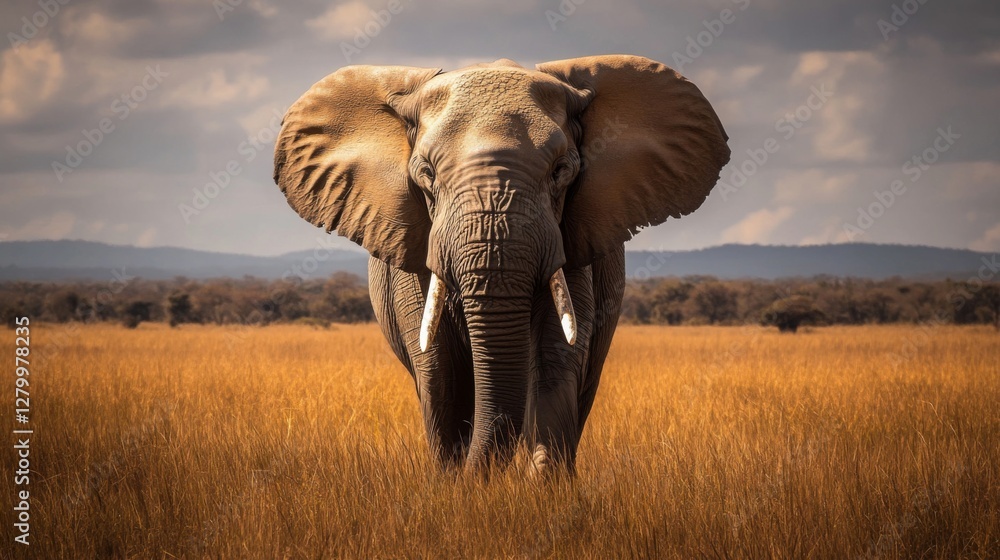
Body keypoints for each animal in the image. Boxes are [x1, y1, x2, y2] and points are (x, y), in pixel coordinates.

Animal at [273, 55, 730, 475]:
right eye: (426, 174)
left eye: (561, 171)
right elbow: (439, 372)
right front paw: (455, 485)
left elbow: (555, 358)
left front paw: (544, 488)